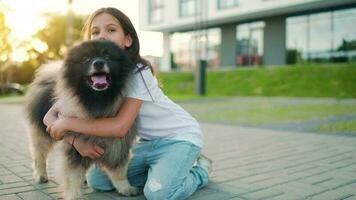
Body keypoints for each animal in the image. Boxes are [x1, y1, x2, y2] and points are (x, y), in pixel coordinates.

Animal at [25, 39, 138, 199]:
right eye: (86, 59)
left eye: (108, 57)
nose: (98, 63)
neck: (97, 101)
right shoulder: (74, 148)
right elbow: (72, 175)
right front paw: (75, 195)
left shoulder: (118, 144)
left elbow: (120, 171)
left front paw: (125, 188)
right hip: (41, 133)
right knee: (39, 155)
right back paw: (41, 176)